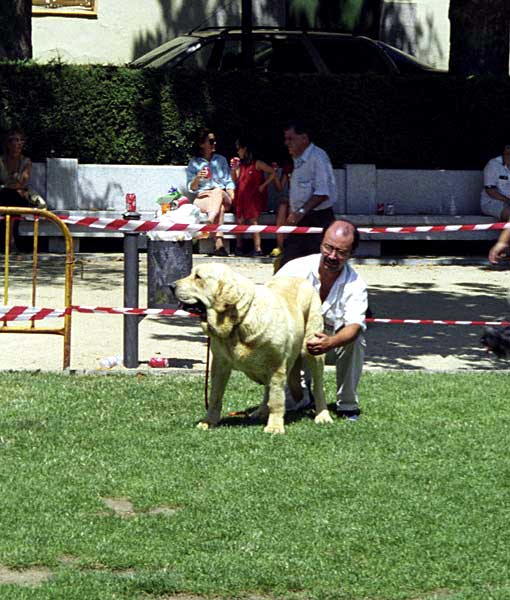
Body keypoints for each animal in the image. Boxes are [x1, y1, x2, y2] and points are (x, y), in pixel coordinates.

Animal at [174, 262, 334, 432]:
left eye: (198, 277)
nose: (171, 286)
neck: (239, 320)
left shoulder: (277, 365)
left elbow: (277, 399)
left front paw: (275, 427)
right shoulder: (219, 364)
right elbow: (215, 396)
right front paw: (209, 422)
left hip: (312, 348)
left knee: (318, 387)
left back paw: (323, 416)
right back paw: (261, 412)